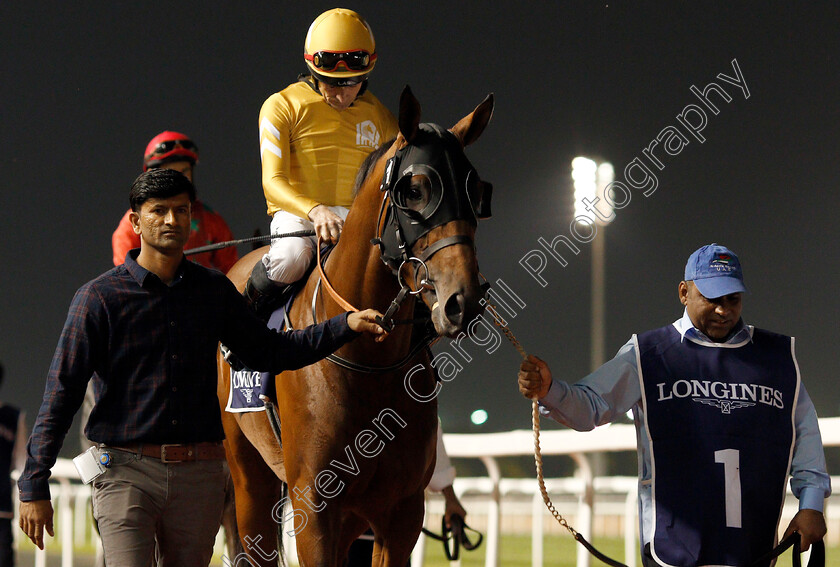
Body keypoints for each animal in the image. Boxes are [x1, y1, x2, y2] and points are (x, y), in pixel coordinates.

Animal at [218, 86, 492, 564]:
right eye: (414, 190)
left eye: (474, 189)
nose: (465, 300)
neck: (368, 359)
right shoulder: (315, 506)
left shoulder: (399, 513)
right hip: (248, 472)